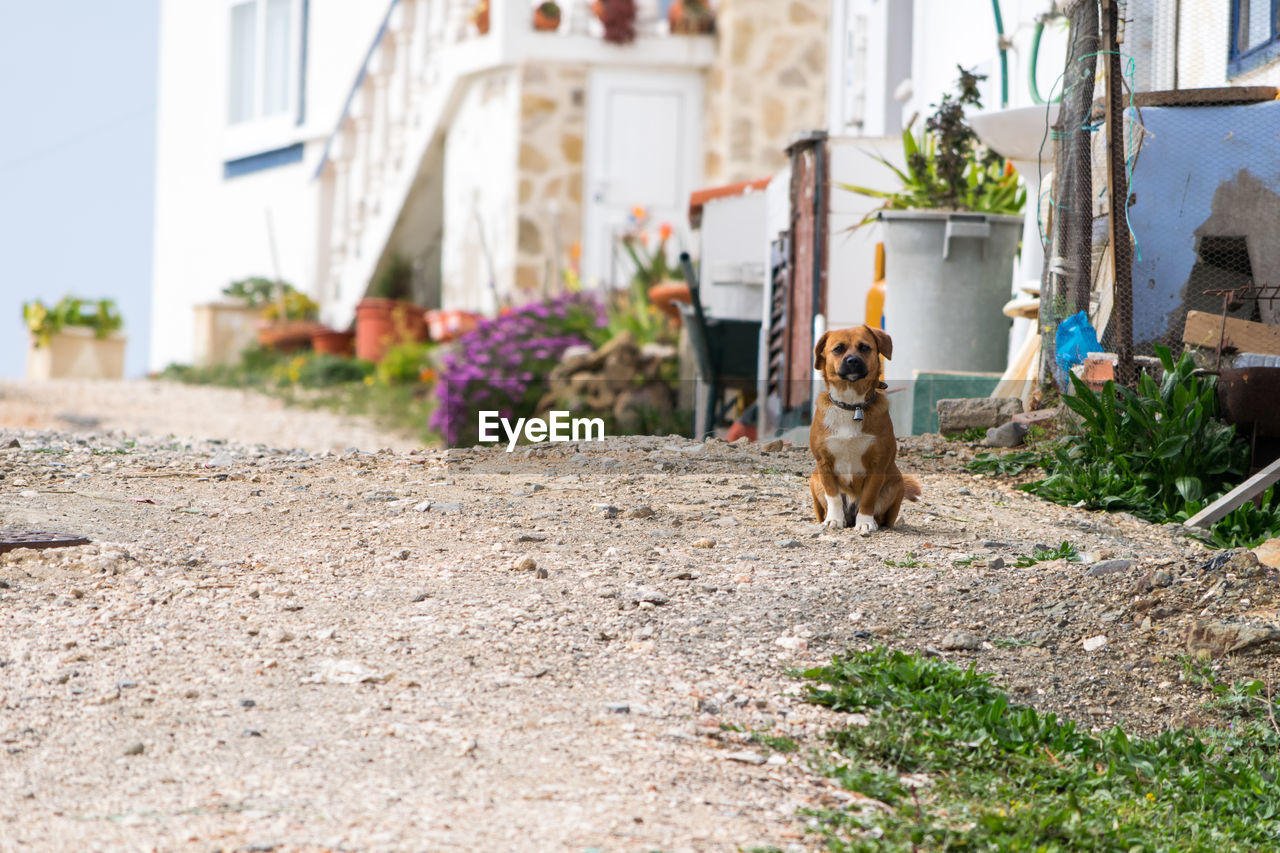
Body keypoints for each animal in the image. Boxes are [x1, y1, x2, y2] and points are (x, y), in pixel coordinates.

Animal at [808, 322, 921, 527]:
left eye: (864, 347)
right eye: (838, 349)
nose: (852, 360)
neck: (852, 406)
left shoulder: (877, 464)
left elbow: (869, 497)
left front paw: (865, 522)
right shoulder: (824, 462)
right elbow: (833, 496)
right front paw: (834, 519)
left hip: (897, 482)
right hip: (814, 479)